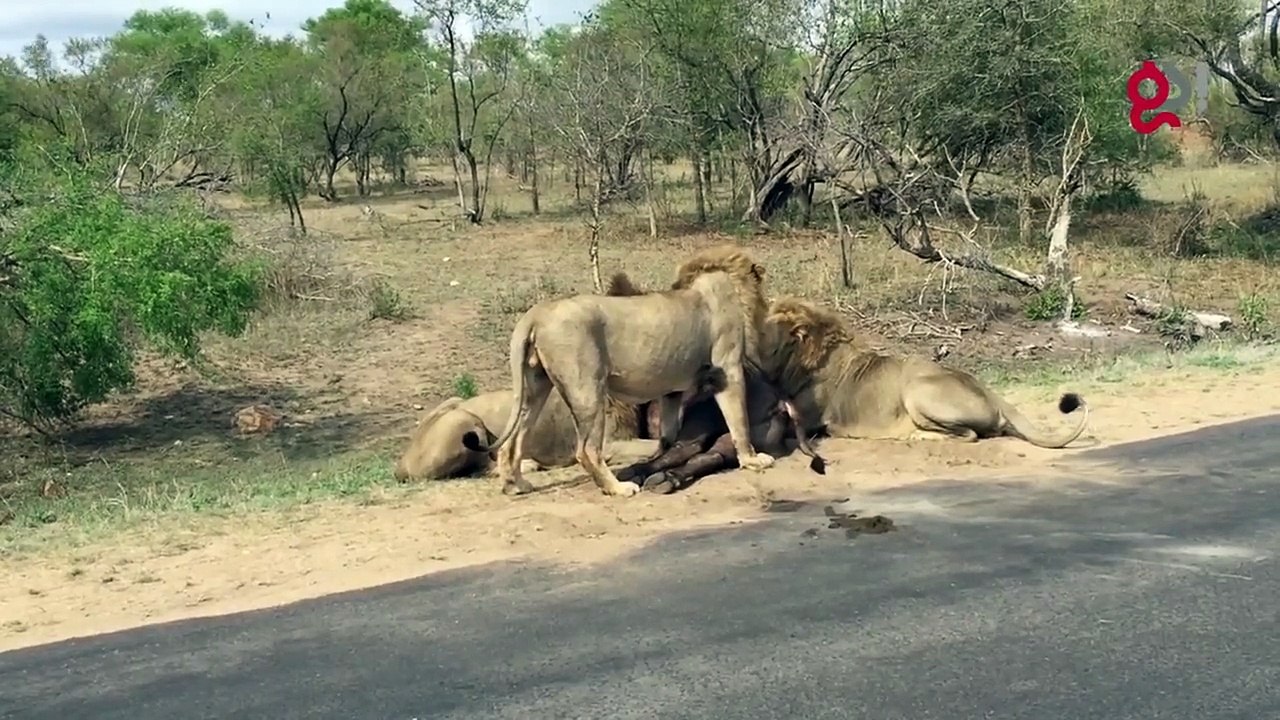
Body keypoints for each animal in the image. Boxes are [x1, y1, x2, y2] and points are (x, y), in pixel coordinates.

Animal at [461, 244, 777, 497]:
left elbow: (668, 436)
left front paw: (658, 462)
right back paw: (618, 488)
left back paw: (516, 486)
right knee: (586, 450)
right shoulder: (727, 368)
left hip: (535, 386)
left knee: (512, 443)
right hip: (587, 388)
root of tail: (537, 313)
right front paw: (752, 460)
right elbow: (739, 422)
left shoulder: (673, 391)